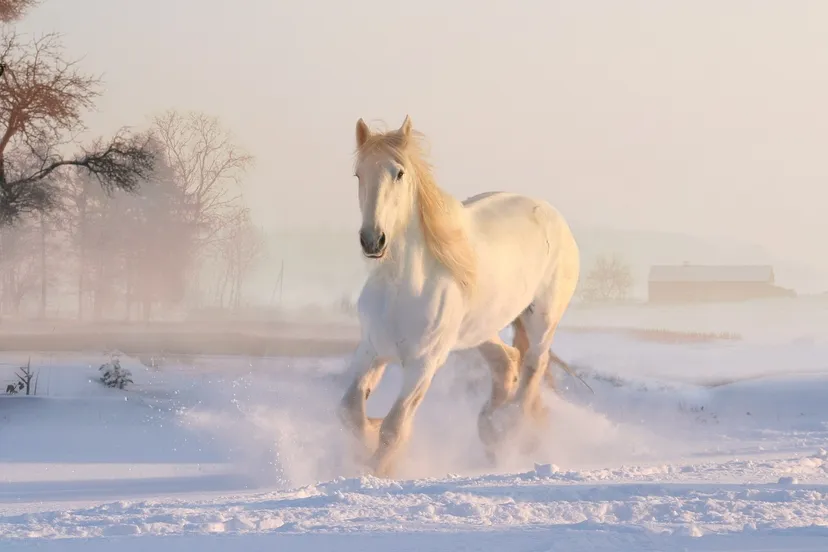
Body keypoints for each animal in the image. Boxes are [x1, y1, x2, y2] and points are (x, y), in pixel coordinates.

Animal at [337, 115, 580, 477]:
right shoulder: (371, 350)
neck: (401, 287)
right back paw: (490, 428)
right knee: (507, 362)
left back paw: (508, 429)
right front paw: (367, 440)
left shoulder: (424, 364)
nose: (373, 240)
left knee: (532, 369)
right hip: (480, 329)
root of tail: (553, 216)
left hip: (542, 320)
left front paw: (377, 470)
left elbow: (394, 428)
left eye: (399, 173)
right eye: (358, 174)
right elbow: (350, 412)